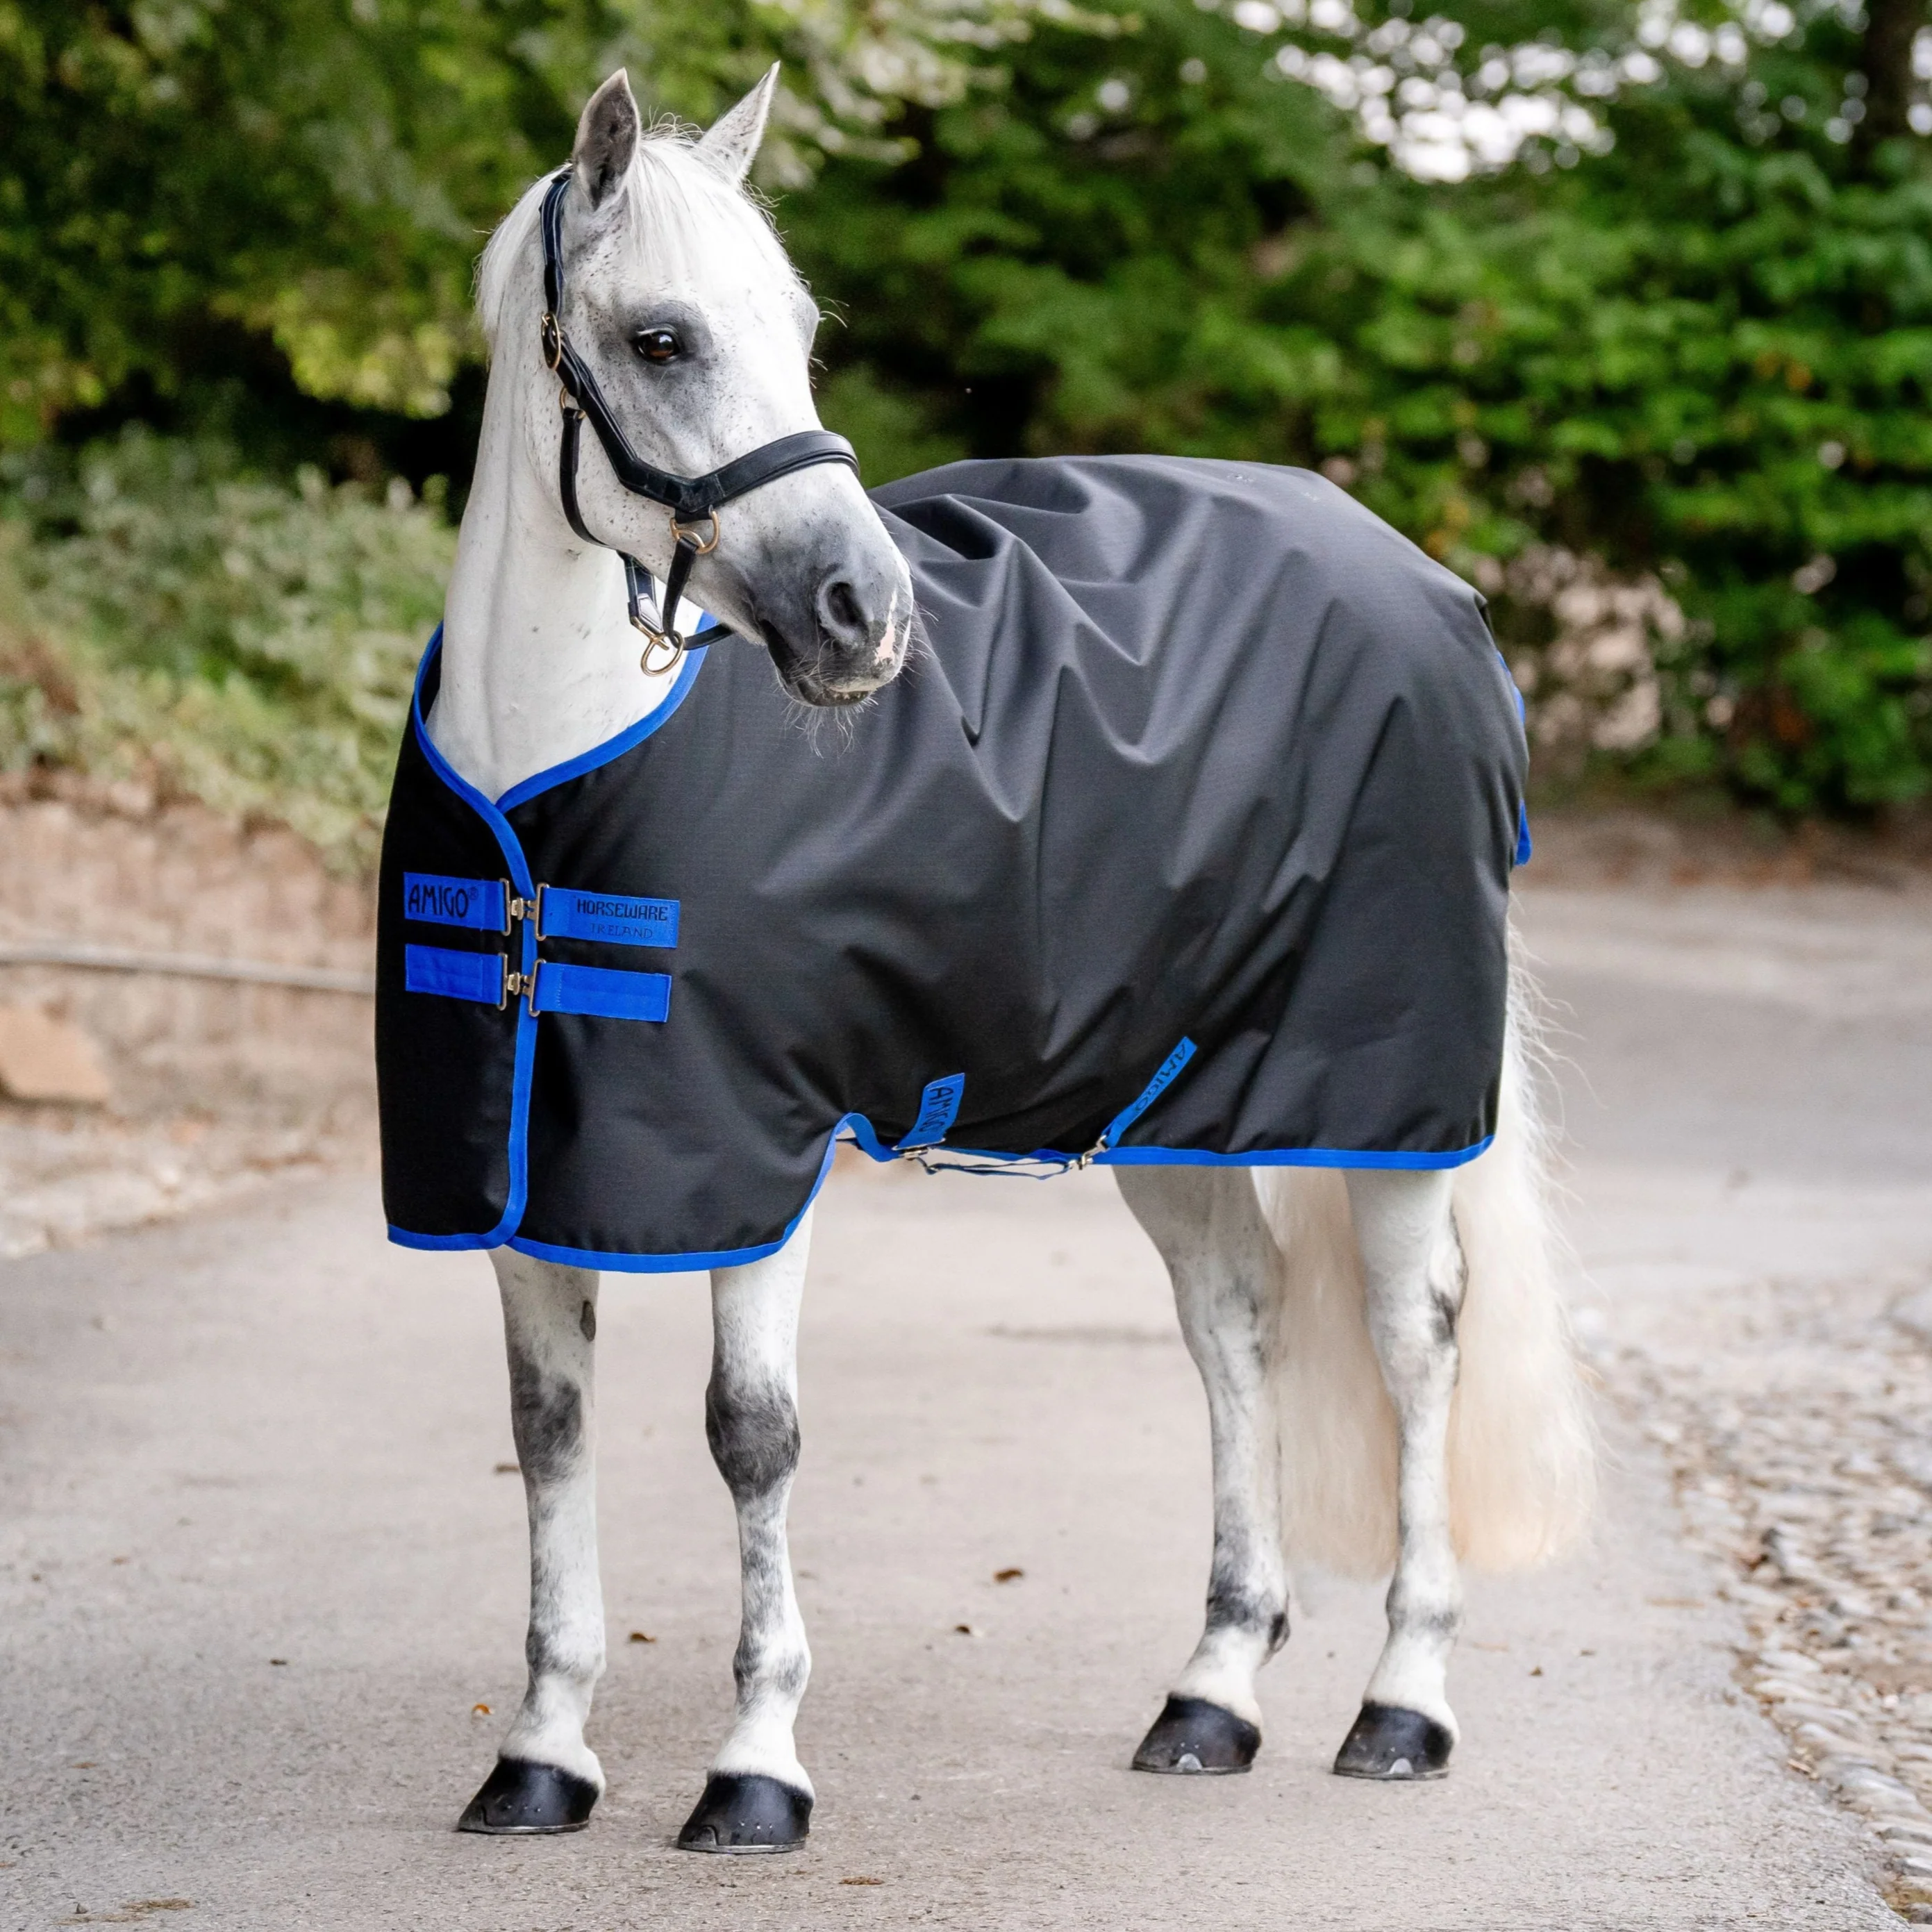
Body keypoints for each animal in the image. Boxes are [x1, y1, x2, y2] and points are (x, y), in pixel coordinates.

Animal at [383, 65, 1595, 1852]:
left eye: (799, 328)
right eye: (663, 337)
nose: (861, 614)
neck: (552, 789)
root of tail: (1430, 586)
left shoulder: (761, 1154)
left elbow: (751, 1434)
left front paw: (755, 1766)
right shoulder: (525, 1172)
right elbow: (549, 1436)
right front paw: (540, 1752)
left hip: (1388, 1100)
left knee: (1412, 1336)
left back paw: (1400, 1701)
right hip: (1175, 1101)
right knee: (1234, 1320)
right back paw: (1210, 1693)